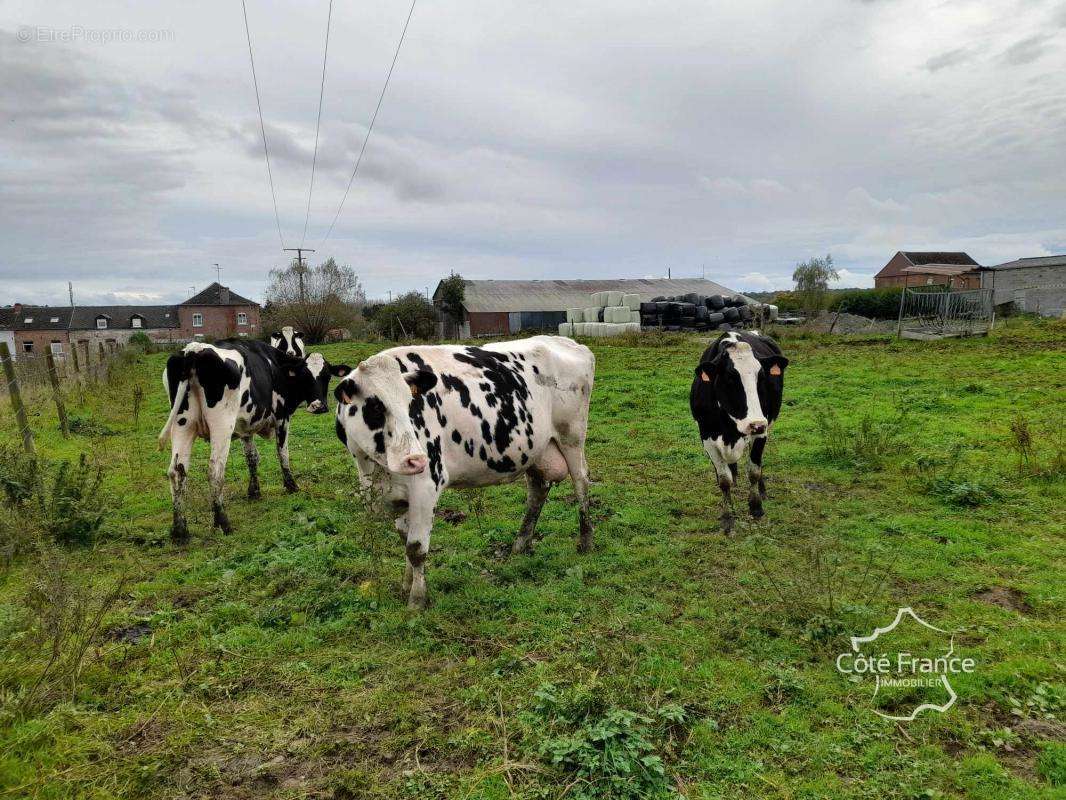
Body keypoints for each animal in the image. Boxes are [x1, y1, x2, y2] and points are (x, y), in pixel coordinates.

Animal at [159, 339, 349, 546]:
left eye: (326, 376)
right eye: (305, 376)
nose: (318, 406)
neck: (276, 366)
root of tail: (194, 349)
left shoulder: (245, 427)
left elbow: (252, 458)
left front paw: (254, 491)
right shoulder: (282, 417)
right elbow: (282, 453)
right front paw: (291, 486)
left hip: (183, 425)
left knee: (177, 472)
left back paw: (180, 530)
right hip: (221, 425)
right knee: (215, 471)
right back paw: (222, 523)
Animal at [332, 337, 596, 605]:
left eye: (410, 405)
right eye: (375, 407)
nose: (415, 460)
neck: (374, 471)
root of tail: (565, 341)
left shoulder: (426, 486)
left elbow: (416, 548)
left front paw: (417, 599)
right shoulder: (396, 495)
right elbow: (404, 539)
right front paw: (406, 585)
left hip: (572, 438)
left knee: (581, 483)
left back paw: (585, 542)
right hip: (536, 451)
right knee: (537, 491)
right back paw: (520, 545)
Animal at [695, 330, 788, 533]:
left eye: (762, 377)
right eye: (730, 377)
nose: (755, 424)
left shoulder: (761, 431)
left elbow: (753, 471)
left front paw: (756, 507)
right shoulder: (706, 435)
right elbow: (724, 479)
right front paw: (727, 516)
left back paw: (762, 491)